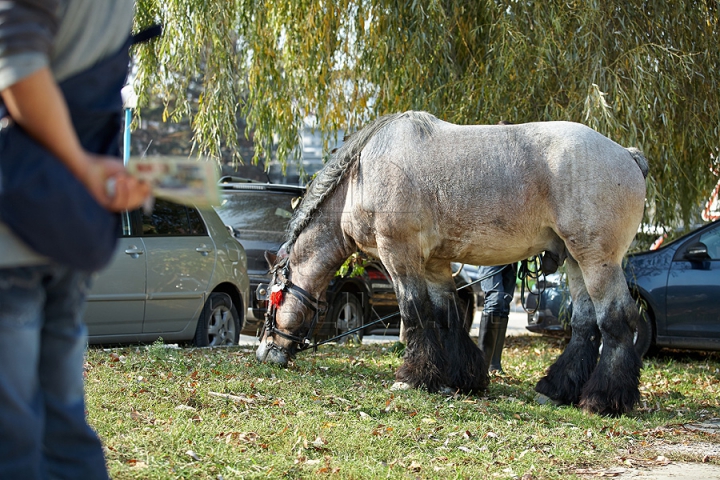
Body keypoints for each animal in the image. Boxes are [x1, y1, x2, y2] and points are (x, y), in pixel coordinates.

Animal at [258, 110, 648, 414]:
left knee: (617, 321)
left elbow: (415, 311)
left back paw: (604, 398)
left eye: (271, 299)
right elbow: (446, 316)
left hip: (597, 260)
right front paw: (462, 377)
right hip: (575, 261)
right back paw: (556, 390)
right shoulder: (434, 264)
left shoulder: (399, 255)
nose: (264, 352)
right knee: (584, 325)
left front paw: (412, 377)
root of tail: (627, 155)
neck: (361, 176)